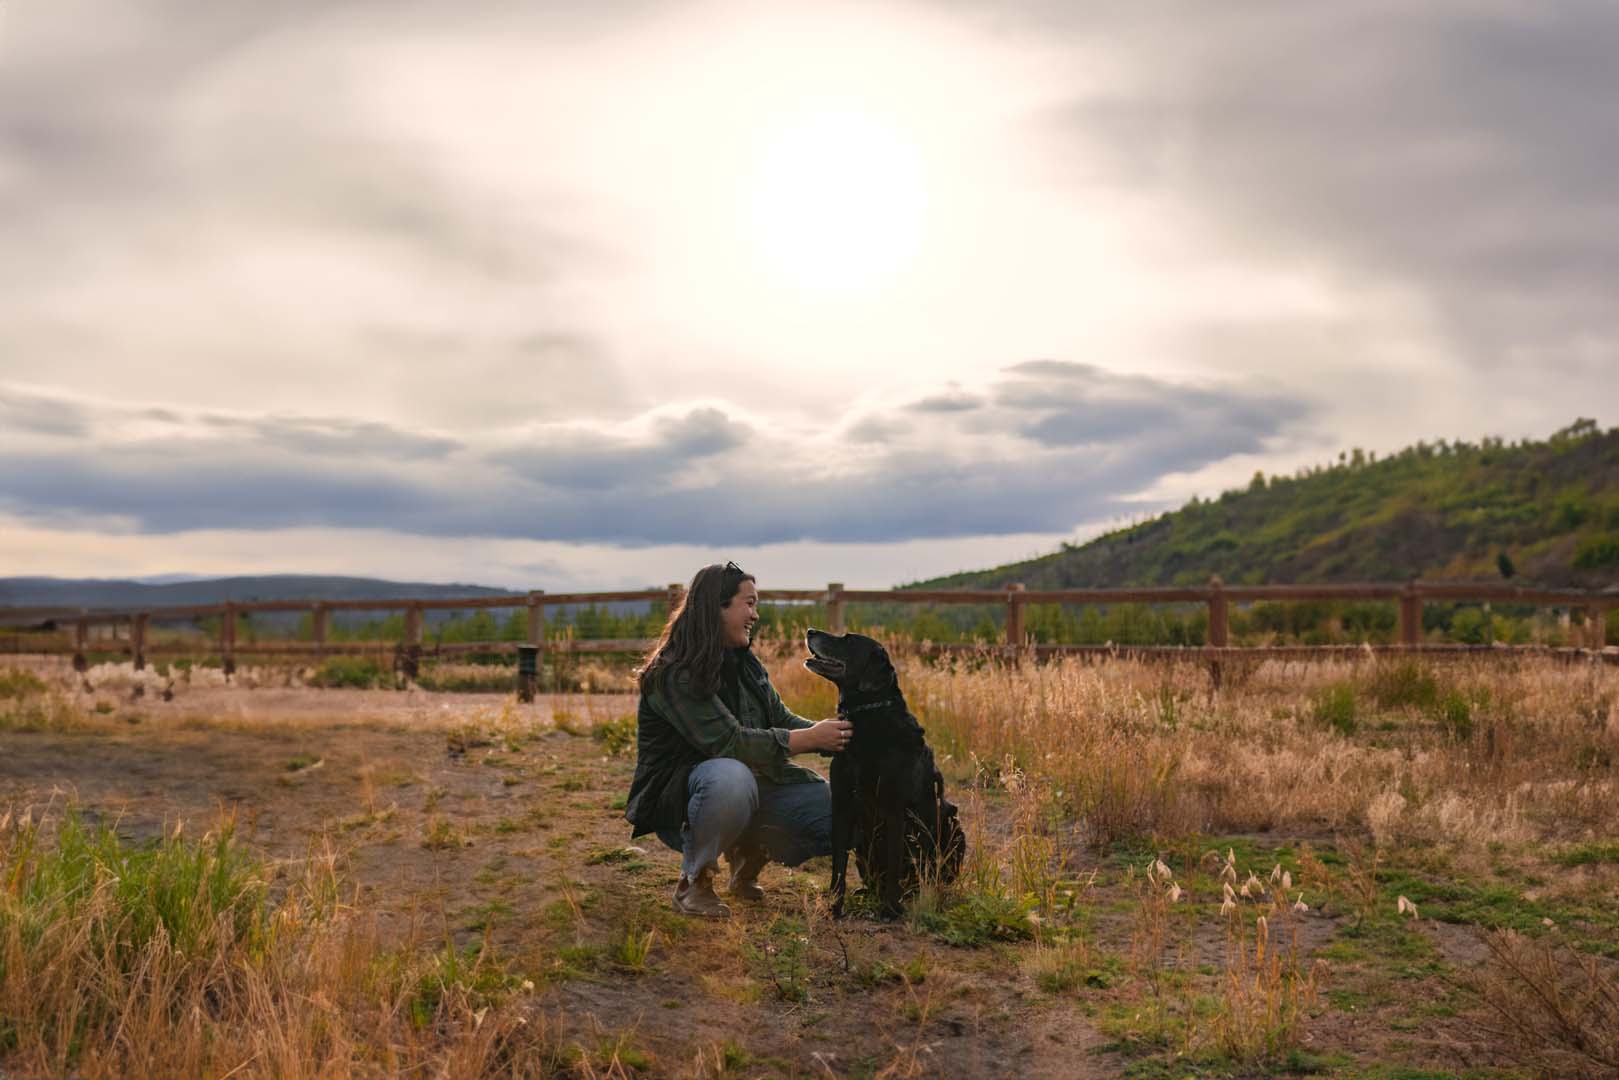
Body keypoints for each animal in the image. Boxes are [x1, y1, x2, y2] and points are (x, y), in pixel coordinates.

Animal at [806, 628, 964, 919]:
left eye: (848, 639)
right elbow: (838, 864)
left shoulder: (894, 809)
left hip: (953, 826)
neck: (867, 714)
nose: (810, 631)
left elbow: (893, 862)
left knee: (932, 876)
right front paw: (834, 905)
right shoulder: (842, 805)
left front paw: (890, 908)